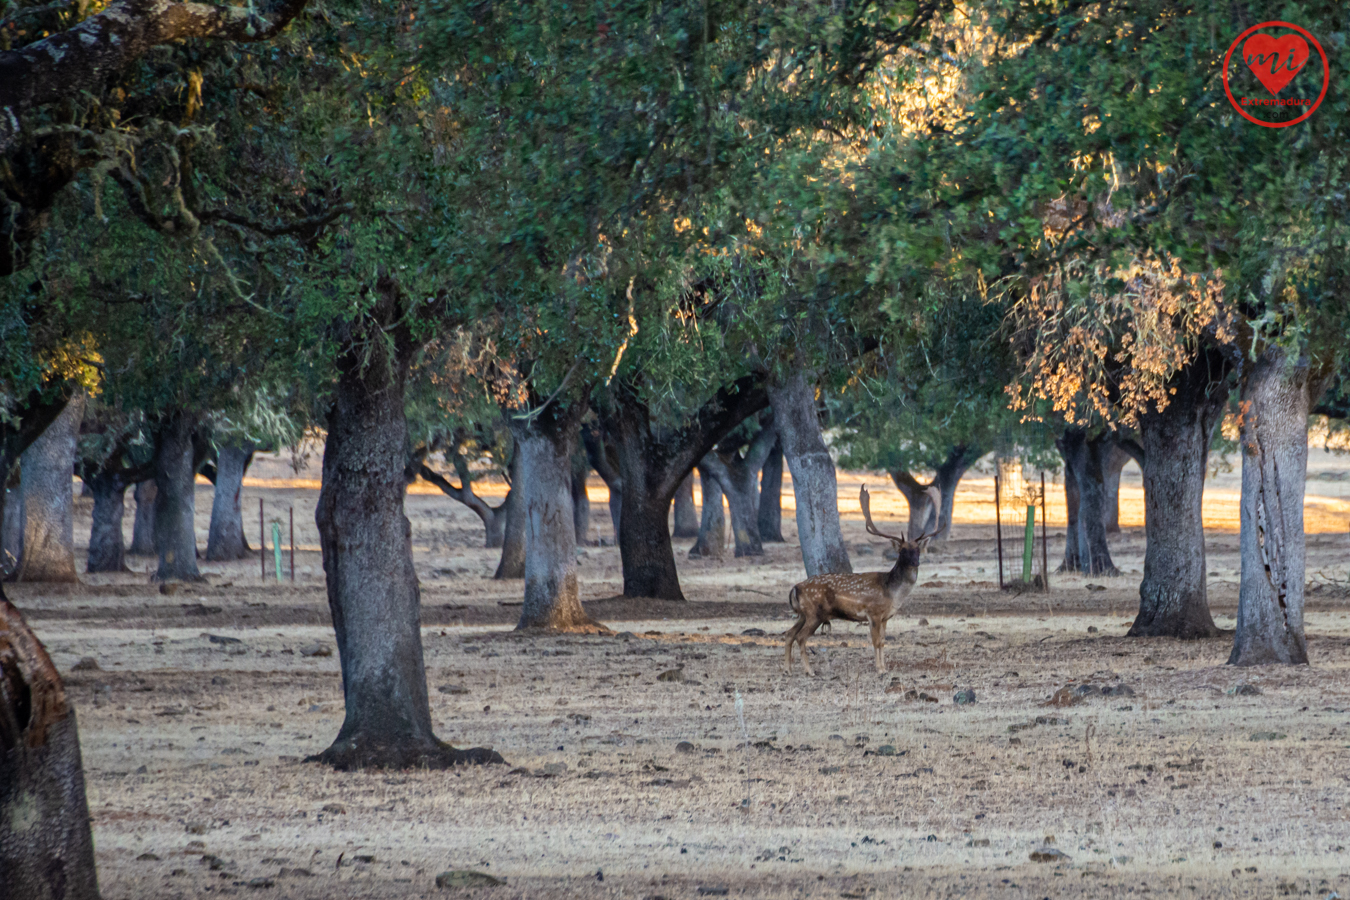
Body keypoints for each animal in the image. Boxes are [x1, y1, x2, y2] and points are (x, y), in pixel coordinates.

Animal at [788, 485, 945, 674]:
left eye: (917, 550)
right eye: (902, 551)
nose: (916, 562)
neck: (892, 593)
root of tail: (795, 587)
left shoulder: (885, 617)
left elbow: (883, 642)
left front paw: (884, 667)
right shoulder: (873, 612)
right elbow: (876, 642)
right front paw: (879, 669)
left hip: (803, 614)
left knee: (789, 634)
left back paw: (788, 669)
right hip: (814, 613)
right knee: (800, 637)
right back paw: (809, 671)